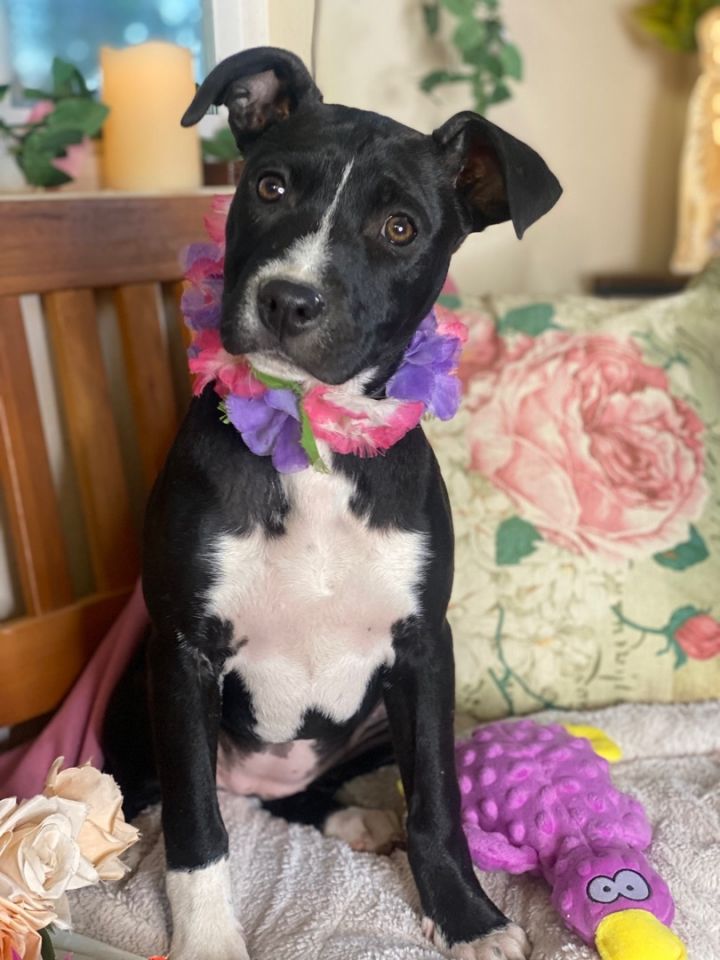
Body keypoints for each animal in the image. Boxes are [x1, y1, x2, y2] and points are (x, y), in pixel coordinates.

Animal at [104, 47, 560, 960]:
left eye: (400, 228)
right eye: (270, 185)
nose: (288, 299)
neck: (311, 439)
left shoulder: (423, 650)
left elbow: (437, 801)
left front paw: (468, 918)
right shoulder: (182, 651)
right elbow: (198, 829)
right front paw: (207, 940)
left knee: (312, 795)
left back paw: (355, 817)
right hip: (137, 689)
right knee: (169, 795)